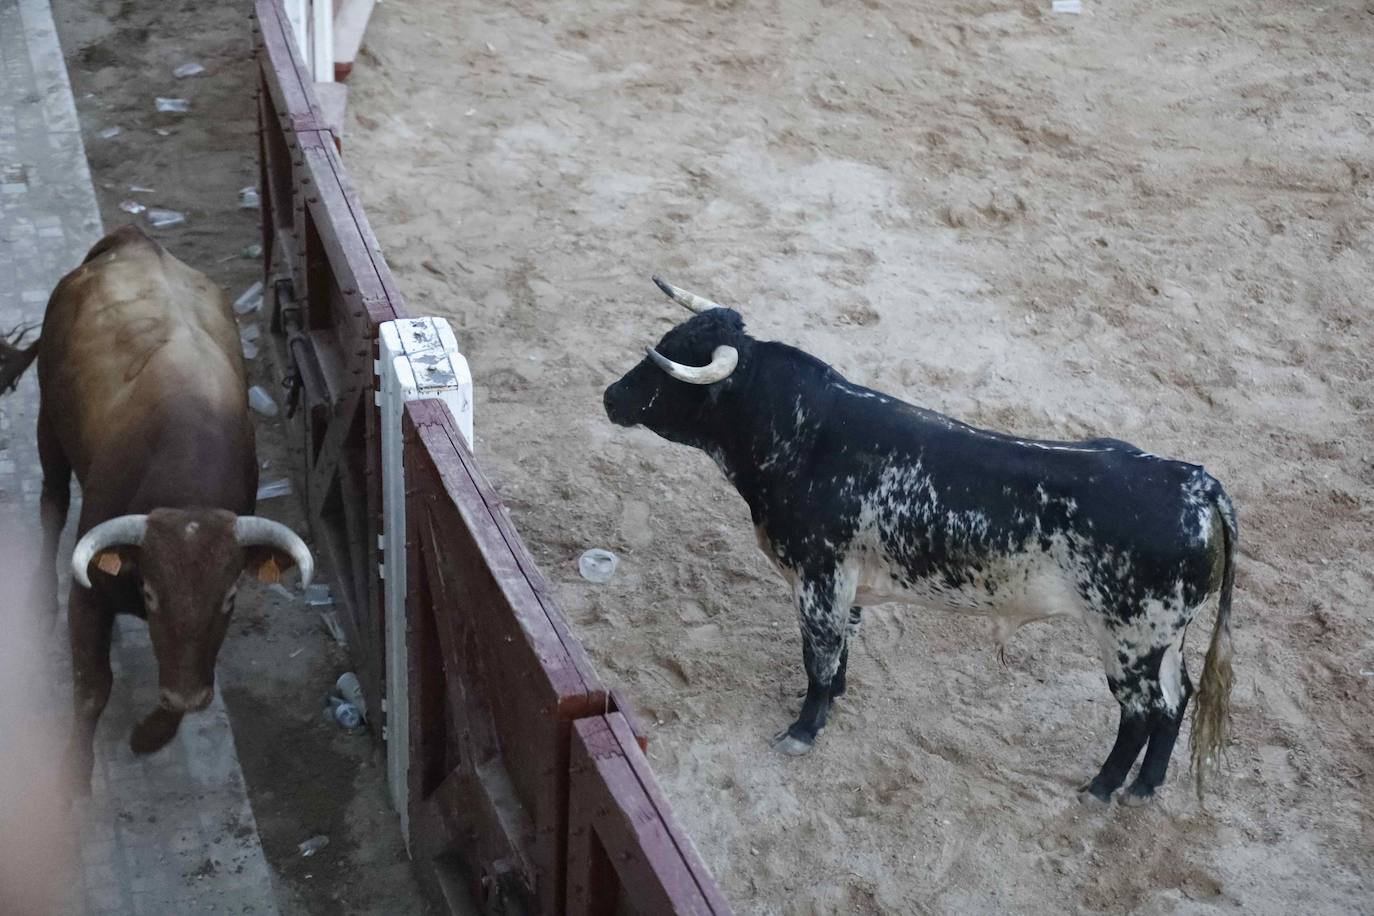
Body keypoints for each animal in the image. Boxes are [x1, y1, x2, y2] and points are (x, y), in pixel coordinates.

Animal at [0, 225, 311, 791]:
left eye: (230, 596)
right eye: (149, 592)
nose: (188, 692)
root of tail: (135, 239)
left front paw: (149, 735)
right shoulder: (89, 595)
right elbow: (91, 687)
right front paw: (73, 780)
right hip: (48, 424)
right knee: (52, 503)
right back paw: (38, 599)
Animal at [607, 277, 1242, 802]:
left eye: (669, 367)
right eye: (668, 340)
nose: (611, 396)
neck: (798, 435)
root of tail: (1195, 483)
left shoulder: (817, 580)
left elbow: (817, 657)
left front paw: (804, 729)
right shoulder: (847, 585)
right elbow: (841, 649)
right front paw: (835, 701)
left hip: (1130, 640)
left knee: (1141, 711)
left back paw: (1103, 788)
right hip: (1165, 639)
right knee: (1177, 699)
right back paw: (1145, 788)